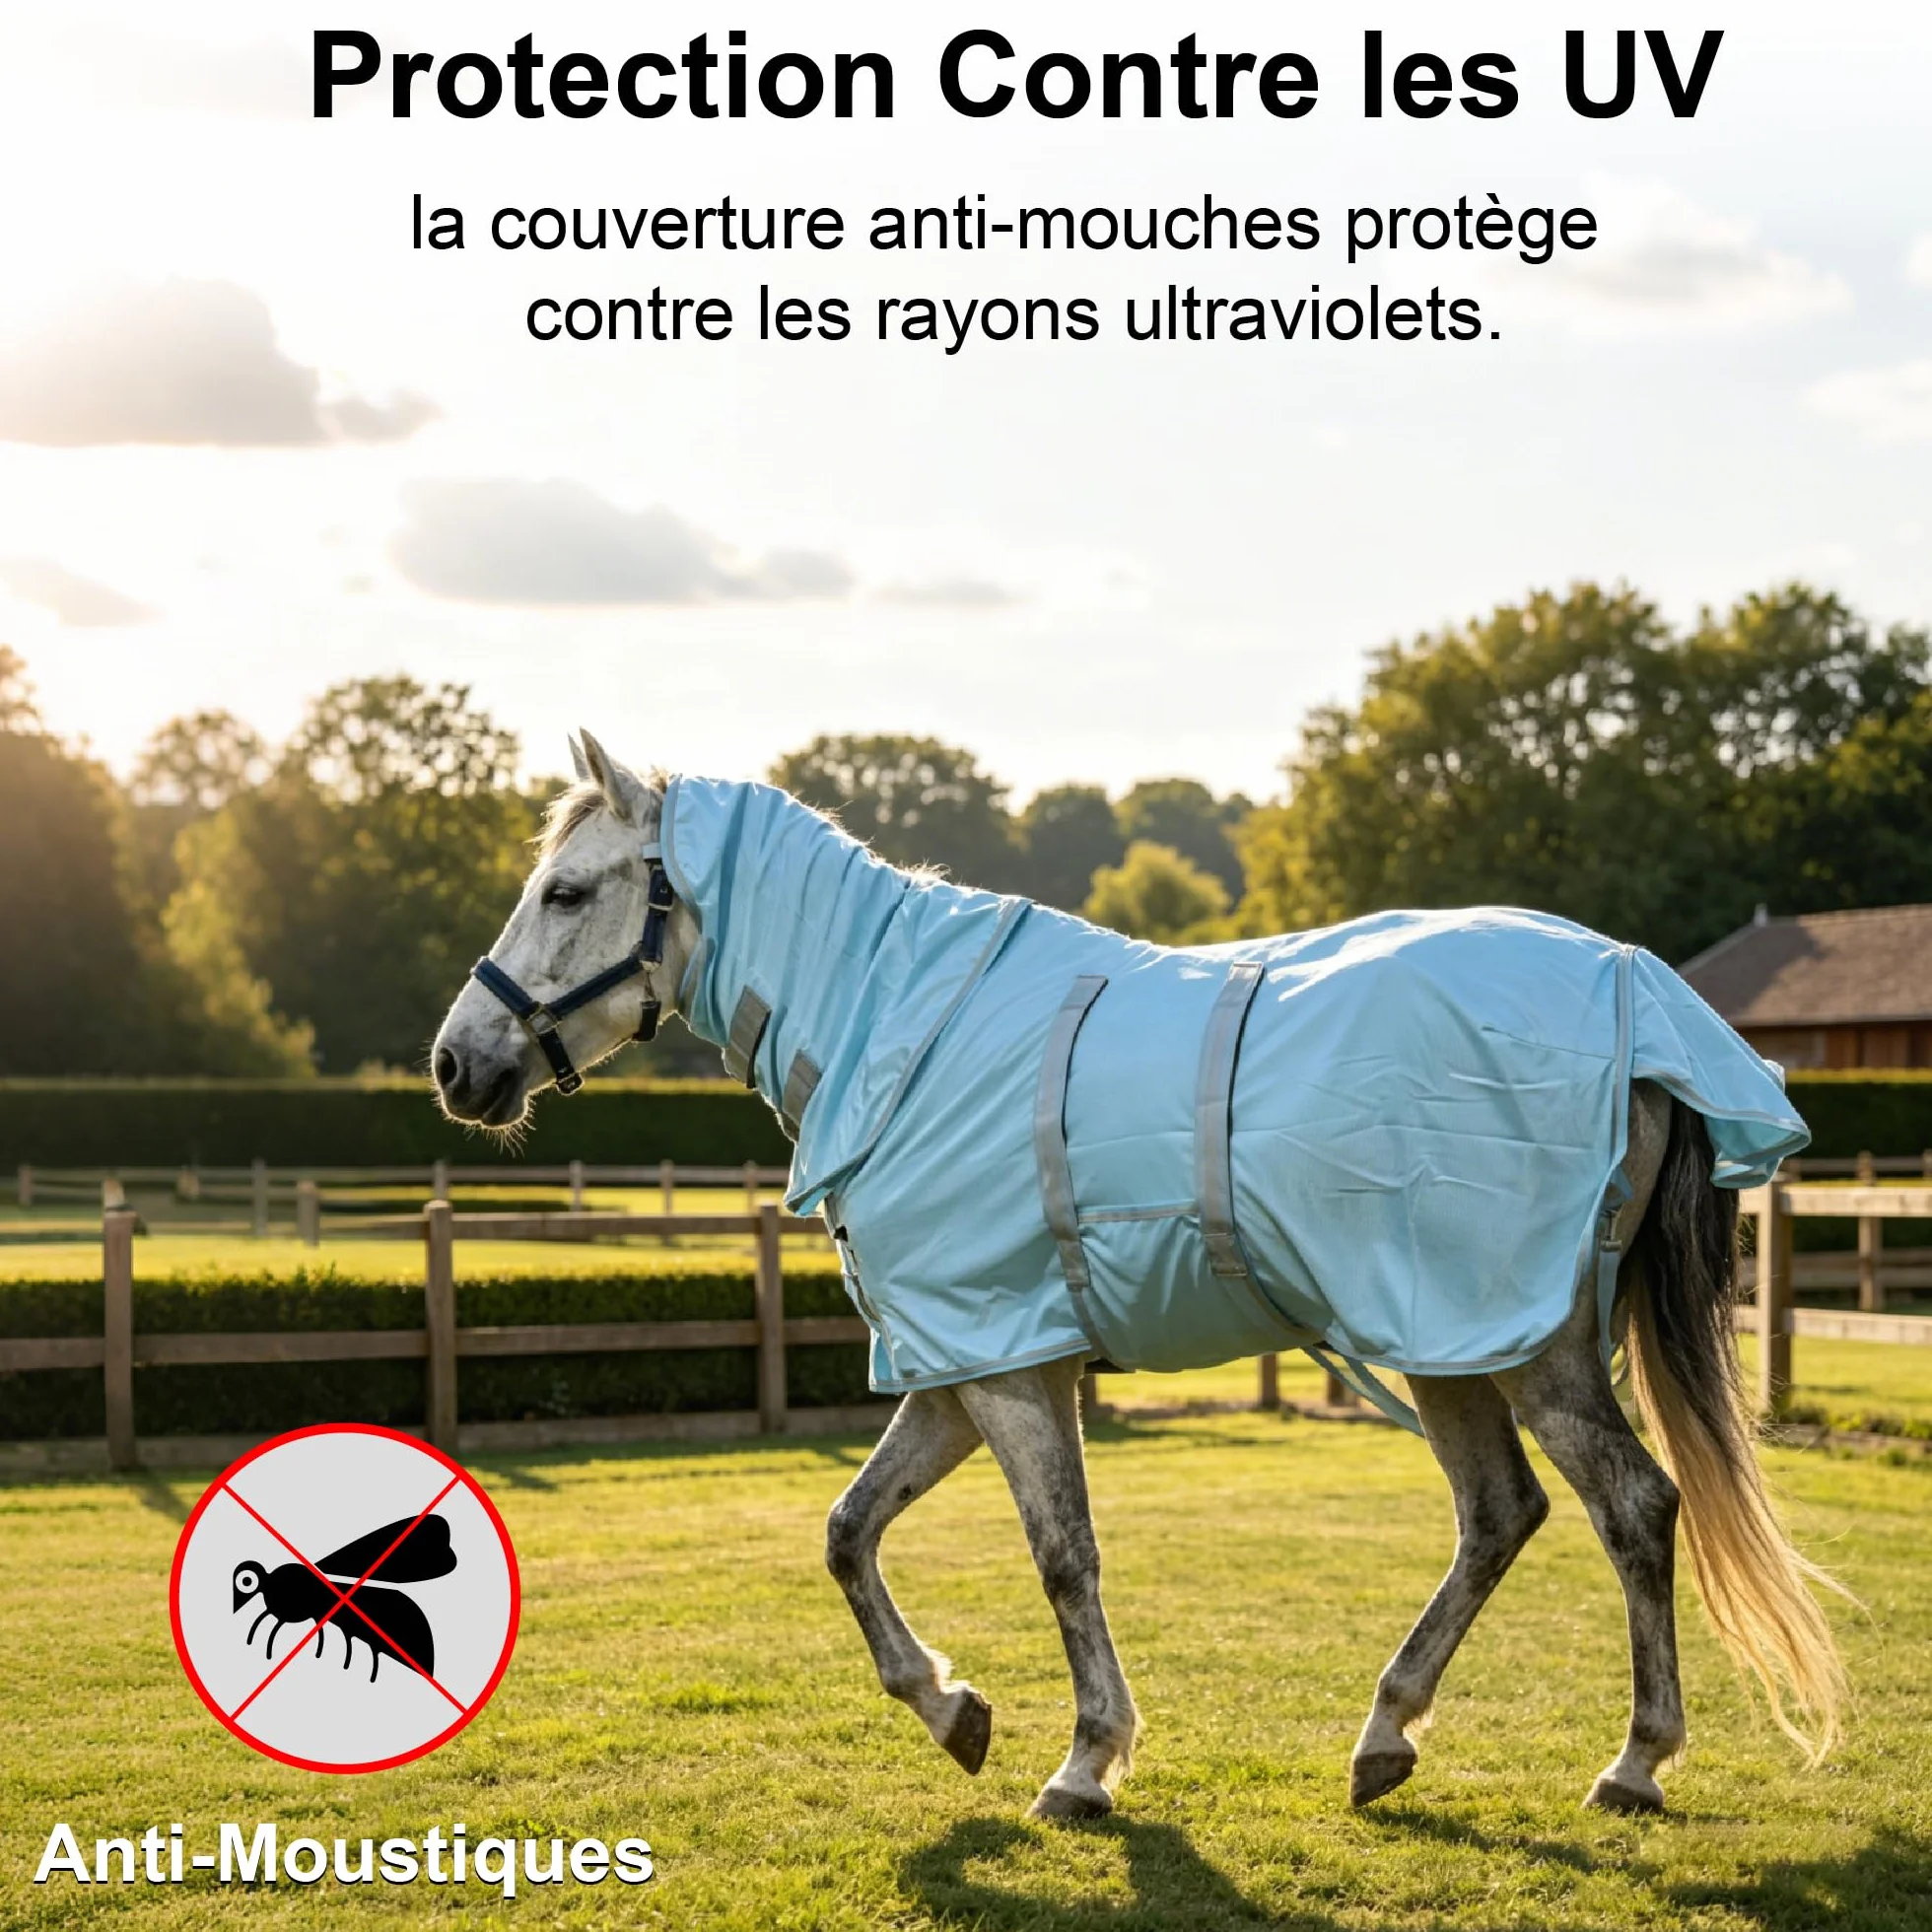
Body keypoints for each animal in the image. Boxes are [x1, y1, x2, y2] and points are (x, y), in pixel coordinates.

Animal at [431, 731, 1845, 1822]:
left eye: (567, 892)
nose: (456, 1062)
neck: (904, 1028)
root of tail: (1637, 989)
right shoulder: (961, 1364)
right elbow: (846, 1532)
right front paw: (950, 1707)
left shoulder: (1007, 1369)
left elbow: (1063, 1557)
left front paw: (1083, 1762)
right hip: (1447, 1341)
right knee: (1500, 1514)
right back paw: (1386, 1734)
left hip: (1523, 1343)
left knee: (1633, 1506)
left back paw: (1634, 1762)